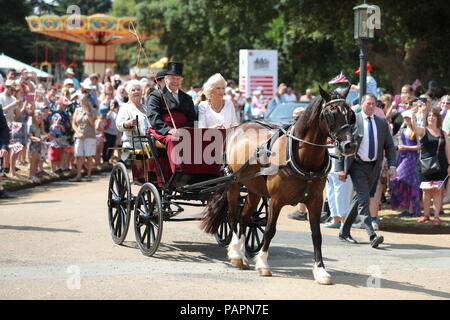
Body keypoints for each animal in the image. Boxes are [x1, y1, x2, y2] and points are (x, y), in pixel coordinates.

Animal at [200, 85, 356, 284]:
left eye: (350, 114)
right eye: (331, 114)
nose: (349, 145)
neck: (302, 158)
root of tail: (238, 126)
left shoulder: (315, 201)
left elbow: (316, 235)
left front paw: (320, 270)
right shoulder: (276, 200)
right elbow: (269, 230)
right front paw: (263, 264)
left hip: (254, 189)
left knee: (245, 217)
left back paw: (241, 256)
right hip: (233, 184)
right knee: (233, 216)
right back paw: (235, 253)